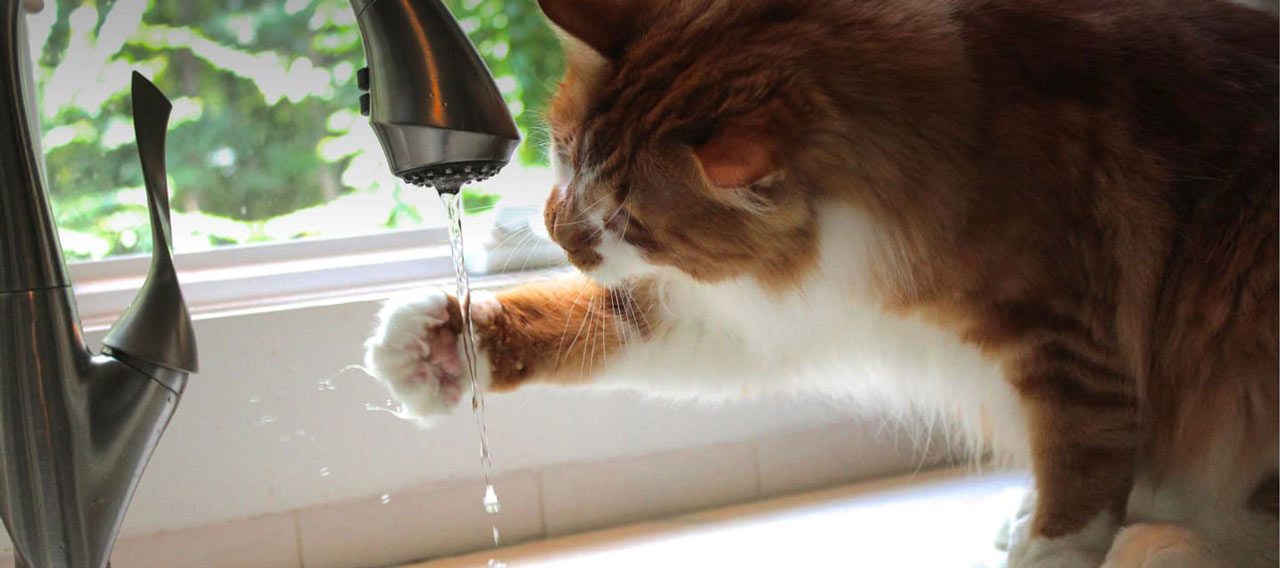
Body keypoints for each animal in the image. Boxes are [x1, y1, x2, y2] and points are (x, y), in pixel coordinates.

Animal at [363, 0, 1280, 565]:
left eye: (628, 220)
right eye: (558, 154)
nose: (558, 230)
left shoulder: (1074, 350)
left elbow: (1079, 496)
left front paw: (1045, 544)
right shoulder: (758, 312)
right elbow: (590, 319)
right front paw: (439, 343)